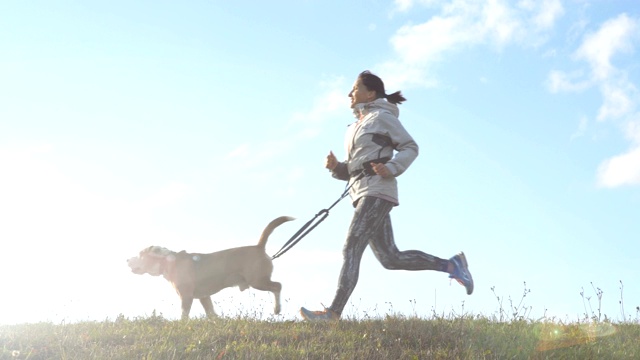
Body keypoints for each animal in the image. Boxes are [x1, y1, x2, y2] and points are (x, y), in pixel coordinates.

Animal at [125, 215, 296, 320]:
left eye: (140, 255)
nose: (127, 260)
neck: (169, 262)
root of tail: (258, 246)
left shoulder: (186, 296)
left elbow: (184, 315)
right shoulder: (204, 297)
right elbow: (211, 313)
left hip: (257, 280)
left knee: (277, 286)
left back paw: (277, 308)